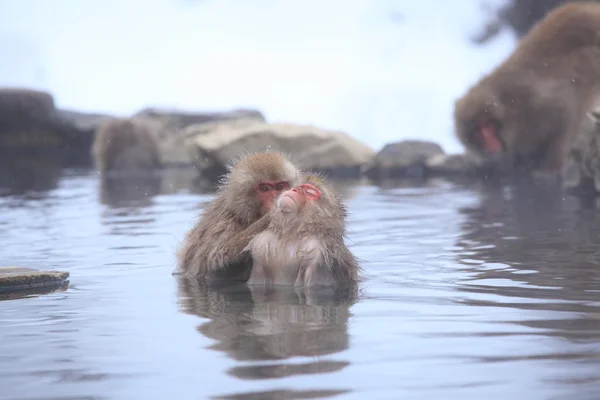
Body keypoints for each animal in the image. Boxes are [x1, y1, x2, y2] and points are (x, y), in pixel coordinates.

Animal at [176, 152, 302, 280]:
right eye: (264, 189)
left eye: (279, 187)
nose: (275, 200)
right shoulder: (225, 225)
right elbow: (214, 260)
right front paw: (270, 217)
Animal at [454, 2, 600, 175]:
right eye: (477, 131)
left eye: (489, 125)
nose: (490, 142)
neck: (509, 112)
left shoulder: (532, 102)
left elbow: (565, 109)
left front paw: (551, 165)